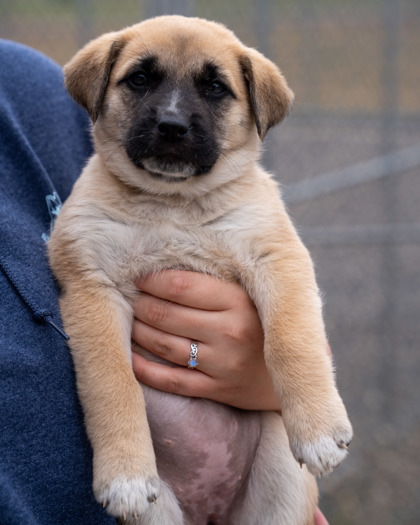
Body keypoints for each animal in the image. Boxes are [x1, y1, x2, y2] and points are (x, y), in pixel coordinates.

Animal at [48, 15, 352, 524]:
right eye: (139, 79)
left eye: (214, 87)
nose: (171, 126)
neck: (173, 204)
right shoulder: (92, 288)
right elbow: (113, 384)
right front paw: (125, 476)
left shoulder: (278, 259)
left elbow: (291, 340)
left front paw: (320, 430)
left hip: (281, 484)